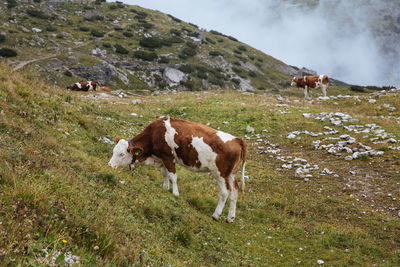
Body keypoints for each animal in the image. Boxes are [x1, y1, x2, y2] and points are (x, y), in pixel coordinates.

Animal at [108, 117, 247, 224]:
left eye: (121, 154)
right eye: (114, 150)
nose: (109, 165)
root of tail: (237, 140)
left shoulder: (168, 157)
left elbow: (173, 176)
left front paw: (175, 193)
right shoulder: (163, 158)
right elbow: (165, 174)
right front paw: (165, 187)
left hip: (220, 173)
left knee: (224, 192)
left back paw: (216, 215)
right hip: (232, 174)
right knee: (234, 191)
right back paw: (230, 218)